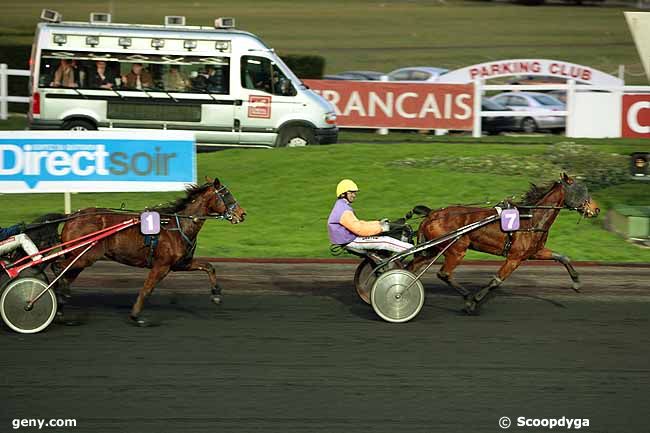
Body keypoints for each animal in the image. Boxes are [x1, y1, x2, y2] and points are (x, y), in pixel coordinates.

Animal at [53, 176, 244, 324]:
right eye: (226, 195)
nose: (242, 214)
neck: (178, 226)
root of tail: (72, 217)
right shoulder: (162, 265)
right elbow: (147, 289)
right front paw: (136, 316)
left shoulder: (181, 263)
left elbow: (209, 266)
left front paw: (216, 294)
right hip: (84, 256)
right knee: (58, 268)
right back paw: (60, 296)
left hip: (79, 259)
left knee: (65, 274)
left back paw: (61, 309)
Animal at [410, 173, 596, 314]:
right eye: (582, 190)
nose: (596, 209)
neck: (531, 219)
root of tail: (432, 214)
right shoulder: (514, 257)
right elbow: (496, 280)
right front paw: (473, 302)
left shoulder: (534, 252)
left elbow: (562, 257)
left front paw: (576, 282)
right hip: (457, 249)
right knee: (444, 273)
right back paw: (467, 297)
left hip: (432, 249)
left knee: (412, 267)